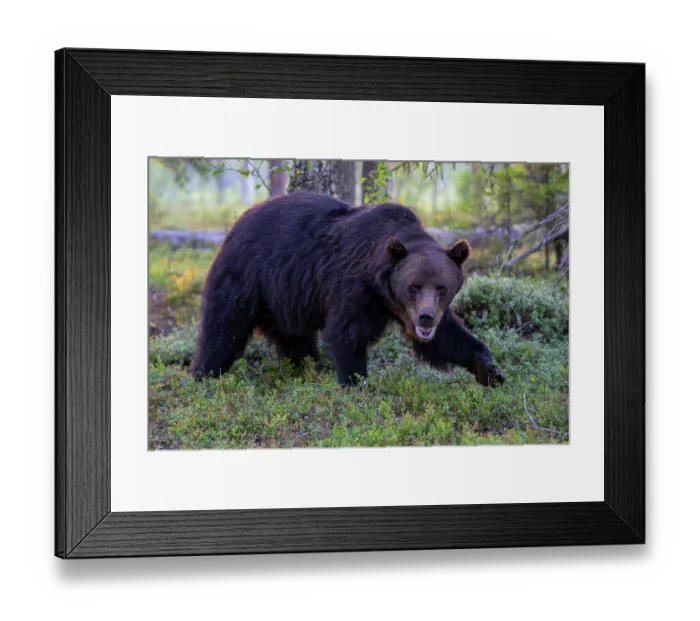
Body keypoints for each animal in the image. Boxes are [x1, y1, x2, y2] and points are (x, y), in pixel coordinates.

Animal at [192, 192, 505, 388]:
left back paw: (309, 368)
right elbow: (347, 334)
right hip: (248, 277)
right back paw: (205, 374)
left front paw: (490, 370)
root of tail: (237, 223)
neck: (381, 288)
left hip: (285, 297)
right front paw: (356, 383)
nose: (426, 317)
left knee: (295, 338)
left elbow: (447, 337)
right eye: (413, 286)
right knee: (224, 327)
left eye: (441, 287)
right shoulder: (353, 286)